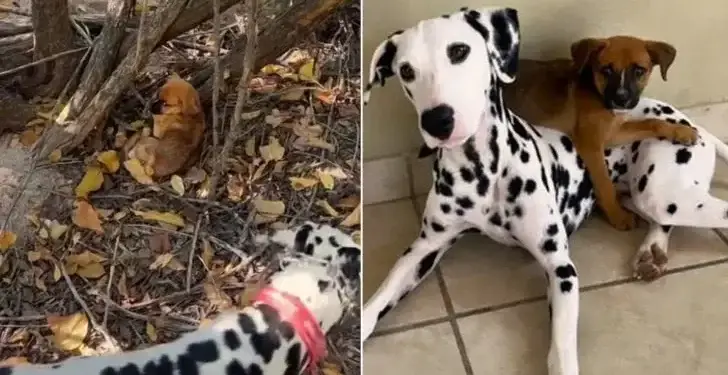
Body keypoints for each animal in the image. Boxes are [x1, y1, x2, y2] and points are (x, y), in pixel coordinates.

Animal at [504, 35, 696, 231]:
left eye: (639, 71)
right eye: (607, 70)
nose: (621, 99)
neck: (595, 89)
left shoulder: (612, 133)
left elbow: (650, 122)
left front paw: (681, 131)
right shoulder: (592, 145)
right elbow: (605, 185)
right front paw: (617, 215)